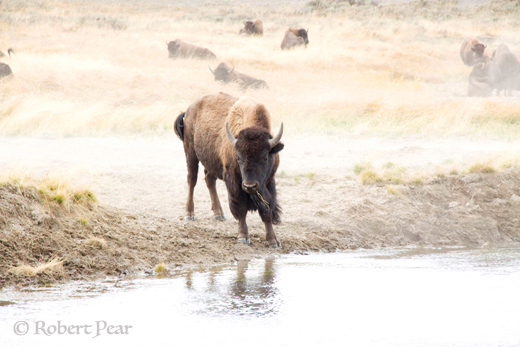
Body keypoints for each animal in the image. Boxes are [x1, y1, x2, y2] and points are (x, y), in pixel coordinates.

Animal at [177, 92, 286, 247]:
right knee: (192, 180)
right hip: (190, 152)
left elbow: (267, 210)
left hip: (211, 161)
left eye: (265, 157)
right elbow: (240, 209)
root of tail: (189, 109)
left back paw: (219, 214)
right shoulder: (233, 182)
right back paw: (189, 214)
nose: (250, 186)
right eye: (238, 158)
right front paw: (243, 237)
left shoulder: (269, 182)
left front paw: (273, 241)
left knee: (209, 180)